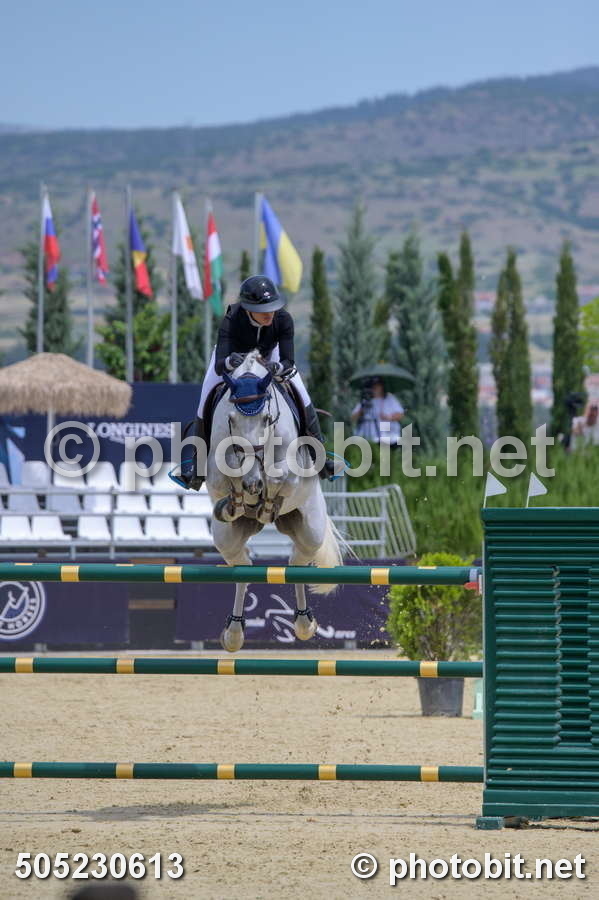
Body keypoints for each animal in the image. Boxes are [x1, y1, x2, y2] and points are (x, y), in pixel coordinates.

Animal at [205, 350, 346, 652]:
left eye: (267, 418)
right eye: (231, 419)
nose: (252, 485)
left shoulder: (292, 471)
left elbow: (280, 476)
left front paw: (264, 500)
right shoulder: (215, 469)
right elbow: (226, 475)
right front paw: (237, 500)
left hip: (309, 529)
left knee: (297, 564)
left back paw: (305, 624)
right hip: (227, 538)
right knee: (243, 569)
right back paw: (234, 633)